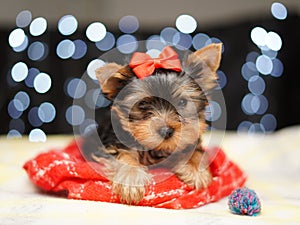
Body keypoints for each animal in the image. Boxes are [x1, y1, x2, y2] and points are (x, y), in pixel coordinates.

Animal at [82, 43, 223, 205]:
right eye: (142, 104)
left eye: (182, 102)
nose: (166, 131)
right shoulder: (110, 142)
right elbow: (121, 154)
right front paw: (131, 178)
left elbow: (194, 149)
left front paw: (196, 170)